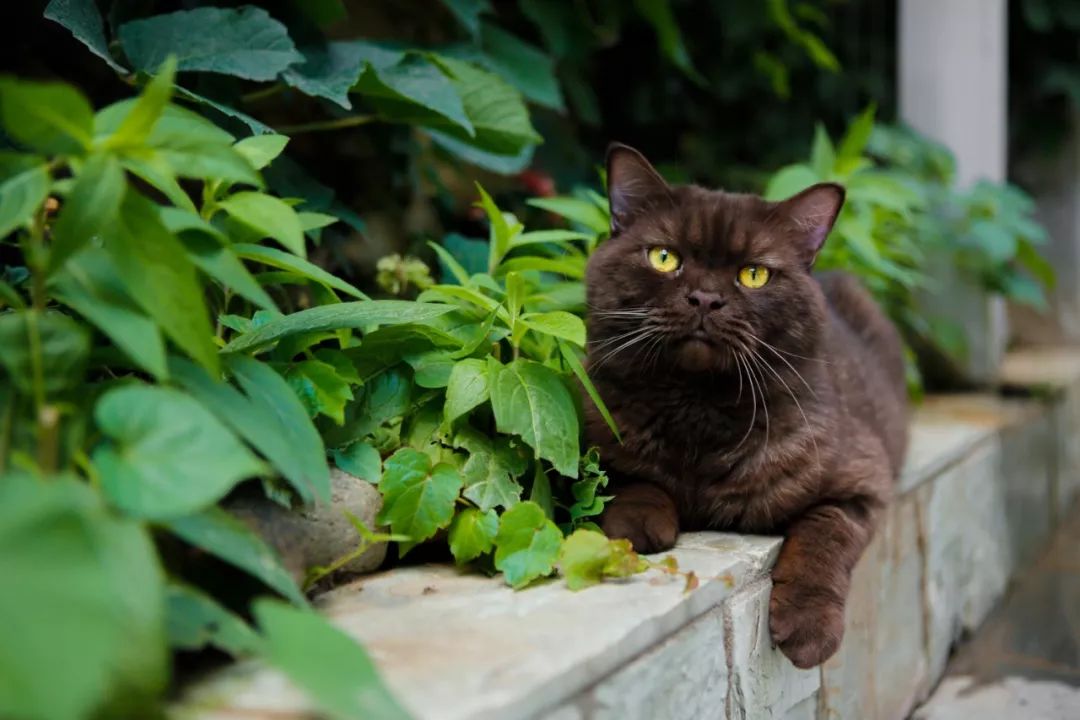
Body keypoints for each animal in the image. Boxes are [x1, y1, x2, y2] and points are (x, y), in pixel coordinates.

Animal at [587, 144, 907, 669]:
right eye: (664, 257)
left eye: (753, 274)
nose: (705, 298)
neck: (698, 405)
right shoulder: (596, 436)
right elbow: (629, 477)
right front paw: (640, 523)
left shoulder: (863, 482)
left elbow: (824, 533)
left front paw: (809, 625)